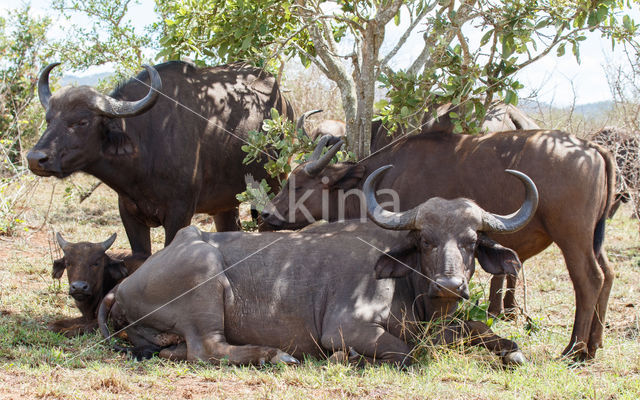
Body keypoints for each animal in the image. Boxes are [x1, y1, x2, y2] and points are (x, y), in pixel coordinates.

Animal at [26, 61, 294, 256]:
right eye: (49, 119)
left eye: (82, 121)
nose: (35, 159)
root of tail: (284, 102)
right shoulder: (128, 213)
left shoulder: (179, 213)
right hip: (225, 204)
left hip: (274, 184)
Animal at [95, 167, 536, 368]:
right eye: (425, 240)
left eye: (471, 242)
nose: (449, 284)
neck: (410, 288)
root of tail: (121, 286)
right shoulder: (346, 327)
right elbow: (412, 351)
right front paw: (349, 358)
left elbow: (479, 330)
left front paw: (511, 350)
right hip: (204, 276)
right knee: (208, 348)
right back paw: (277, 356)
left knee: (183, 351)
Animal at [260, 129, 616, 360]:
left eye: (297, 185)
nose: (263, 213)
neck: (379, 180)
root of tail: (591, 148)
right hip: (594, 240)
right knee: (608, 274)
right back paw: (595, 345)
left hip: (572, 236)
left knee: (589, 280)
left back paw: (574, 349)